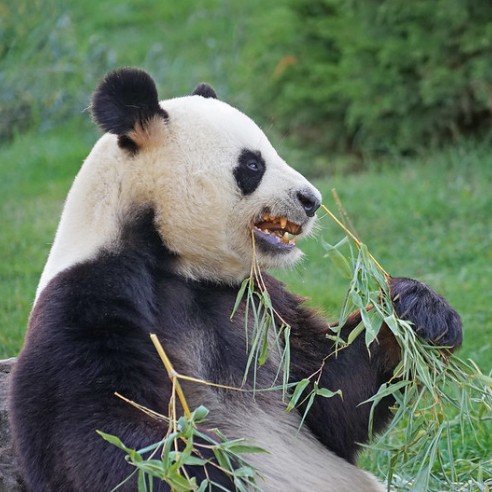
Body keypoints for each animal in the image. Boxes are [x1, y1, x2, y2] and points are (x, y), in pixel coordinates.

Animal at [7, 69, 462, 492]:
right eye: (253, 165)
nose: (311, 201)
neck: (176, 262)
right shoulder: (87, 297)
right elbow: (99, 431)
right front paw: (203, 470)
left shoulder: (258, 301)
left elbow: (327, 395)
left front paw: (418, 313)